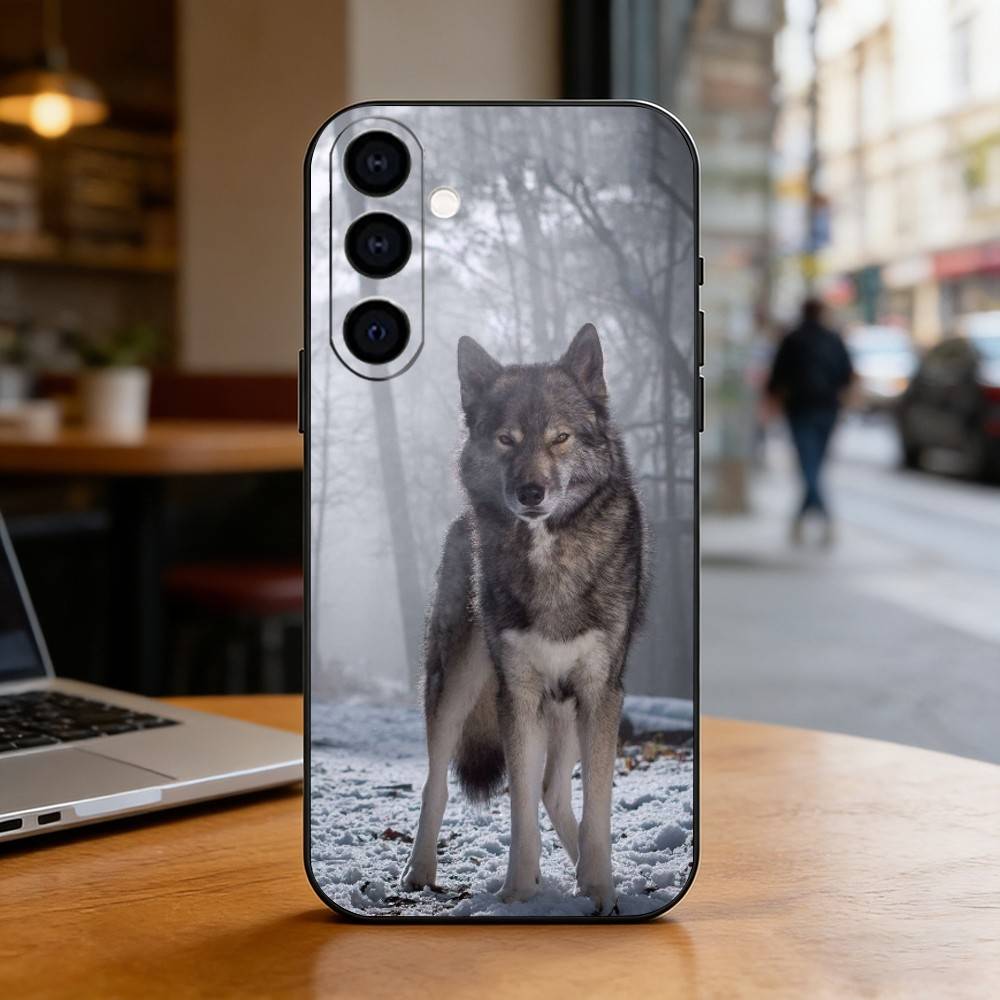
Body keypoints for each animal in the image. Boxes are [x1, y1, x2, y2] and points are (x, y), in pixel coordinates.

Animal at [401, 324, 645, 912]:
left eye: (560, 437)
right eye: (507, 439)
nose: (531, 493)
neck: (548, 554)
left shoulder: (600, 693)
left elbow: (597, 808)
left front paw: (598, 889)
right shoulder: (517, 694)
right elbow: (519, 817)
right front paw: (516, 894)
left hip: (573, 709)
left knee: (554, 792)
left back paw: (584, 875)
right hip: (456, 686)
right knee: (438, 783)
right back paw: (419, 871)